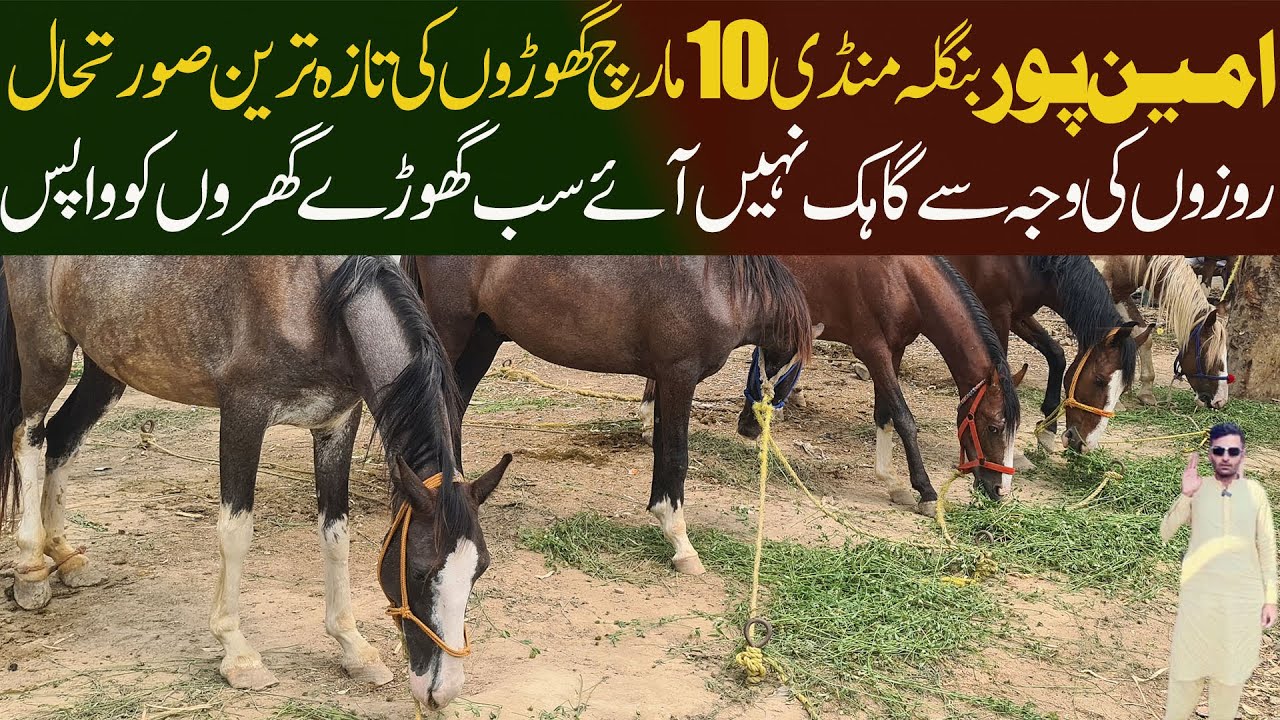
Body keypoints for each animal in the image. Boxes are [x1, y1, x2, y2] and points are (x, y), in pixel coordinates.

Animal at [0, 256, 511, 712]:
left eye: (480, 569)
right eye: (421, 571)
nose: (443, 691)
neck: (318, 299)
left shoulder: (336, 426)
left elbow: (336, 535)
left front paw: (353, 646)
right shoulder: (243, 415)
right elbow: (236, 532)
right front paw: (238, 654)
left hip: (105, 369)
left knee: (63, 440)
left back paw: (67, 556)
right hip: (46, 354)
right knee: (29, 437)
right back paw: (30, 568)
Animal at [399, 255, 813, 576]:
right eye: (794, 370)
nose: (750, 428)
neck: (719, 284)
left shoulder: (664, 380)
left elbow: (661, 451)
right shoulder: (679, 375)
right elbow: (677, 457)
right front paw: (682, 545)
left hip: (483, 338)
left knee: (452, 411)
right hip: (450, 331)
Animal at [944, 256, 1148, 453]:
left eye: (1123, 389)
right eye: (1100, 380)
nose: (1084, 445)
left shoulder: (1018, 315)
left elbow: (1057, 355)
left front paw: (1048, 430)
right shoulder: (997, 312)